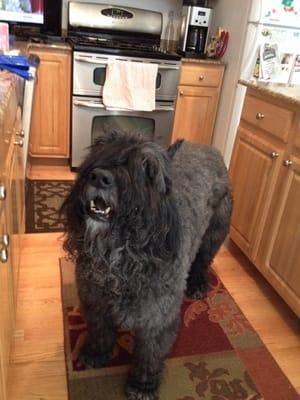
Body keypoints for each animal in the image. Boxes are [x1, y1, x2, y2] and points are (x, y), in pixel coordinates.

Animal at [61, 134, 232, 400]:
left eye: (147, 170)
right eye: (102, 152)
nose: (99, 177)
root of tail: (208, 148)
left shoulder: (157, 318)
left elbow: (150, 355)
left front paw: (142, 385)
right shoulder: (95, 303)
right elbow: (100, 332)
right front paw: (96, 354)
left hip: (214, 235)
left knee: (202, 262)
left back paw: (198, 283)